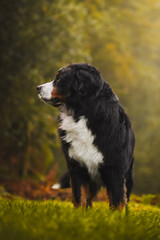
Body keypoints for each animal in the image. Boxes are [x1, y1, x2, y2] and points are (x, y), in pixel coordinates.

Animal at [37, 62, 135, 209]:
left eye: (59, 78)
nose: (38, 88)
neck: (82, 114)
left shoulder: (115, 169)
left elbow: (117, 201)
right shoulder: (77, 166)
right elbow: (79, 197)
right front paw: (80, 214)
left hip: (127, 173)